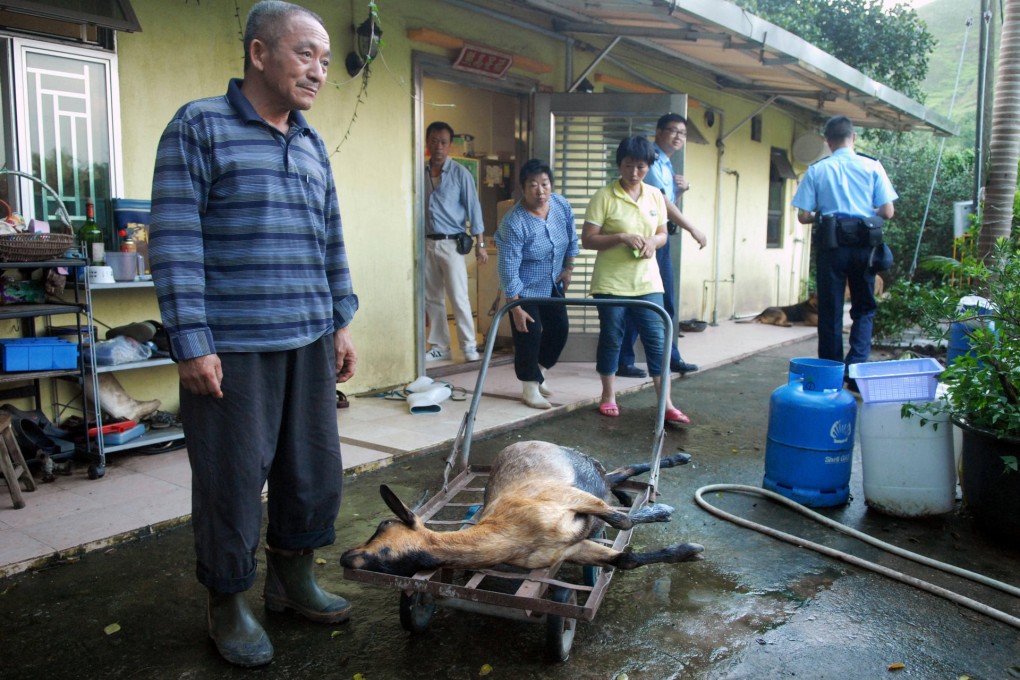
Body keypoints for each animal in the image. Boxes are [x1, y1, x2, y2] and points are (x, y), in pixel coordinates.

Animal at [338, 442, 705, 579]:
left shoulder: (566, 495)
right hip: (595, 477)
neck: (511, 533)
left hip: (584, 469)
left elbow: (620, 520)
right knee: (618, 475)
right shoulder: (571, 548)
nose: (344, 557)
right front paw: (688, 551)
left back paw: (676, 461)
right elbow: (624, 558)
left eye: (384, 527)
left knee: (621, 476)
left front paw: (663, 514)